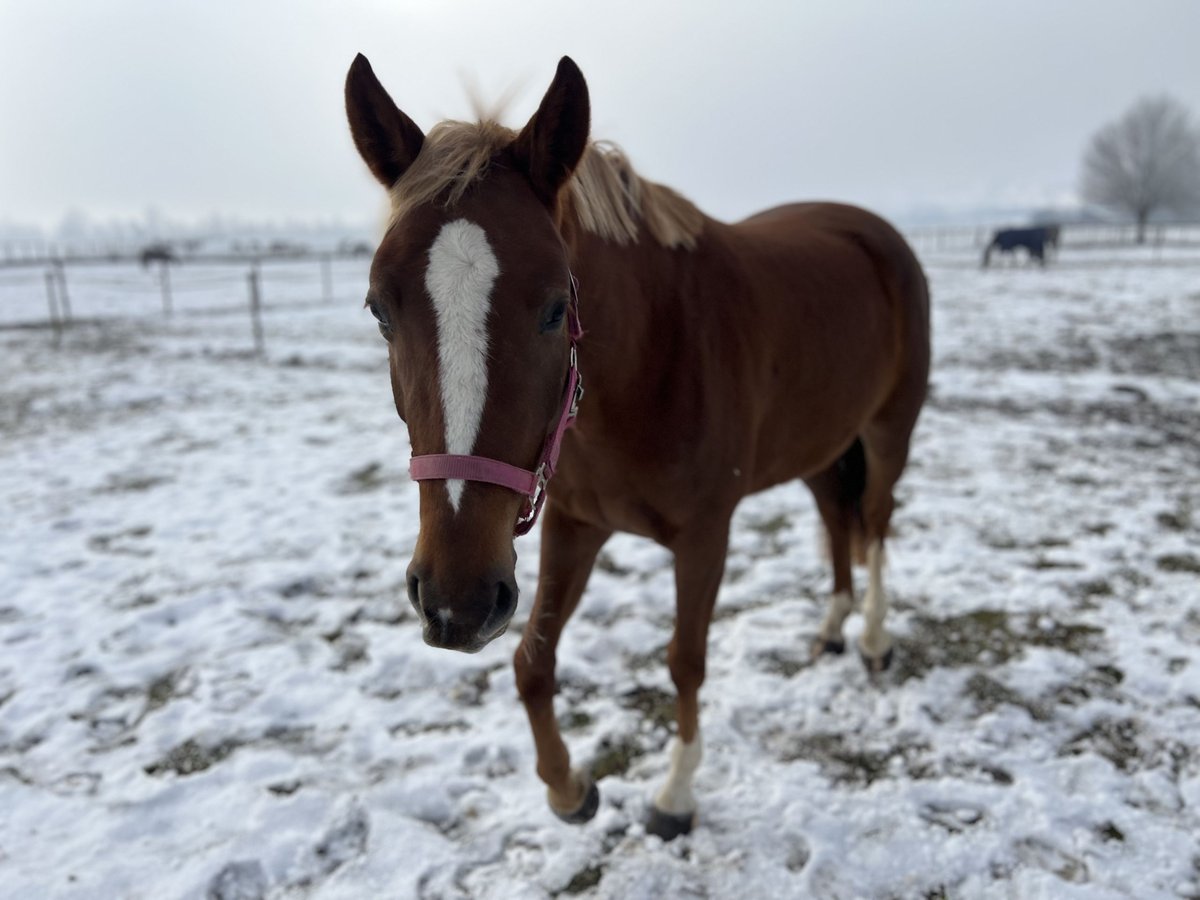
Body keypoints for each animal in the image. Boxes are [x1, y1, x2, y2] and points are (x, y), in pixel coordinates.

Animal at [343, 52, 931, 844]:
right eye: (379, 308)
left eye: (556, 307)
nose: (455, 603)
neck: (653, 354)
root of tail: (874, 232)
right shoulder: (572, 525)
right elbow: (532, 659)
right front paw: (569, 789)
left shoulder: (705, 536)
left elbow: (685, 661)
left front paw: (674, 795)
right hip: (816, 443)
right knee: (839, 520)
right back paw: (833, 630)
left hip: (889, 430)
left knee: (875, 520)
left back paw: (871, 639)